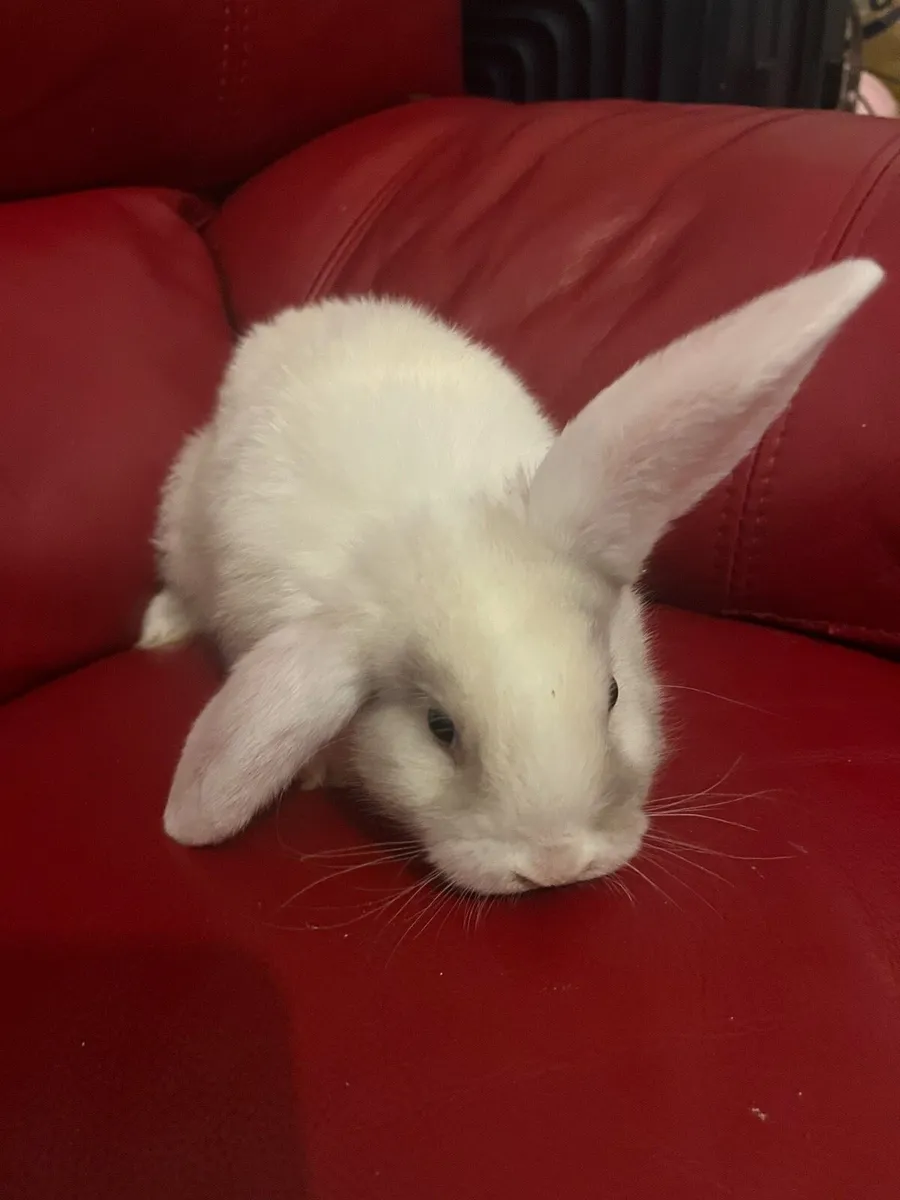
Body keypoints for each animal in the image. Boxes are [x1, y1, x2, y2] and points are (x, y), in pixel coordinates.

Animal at [139, 259, 883, 894]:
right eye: (439, 728)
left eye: (613, 693)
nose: (555, 865)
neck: (425, 516)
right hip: (179, 516)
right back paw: (159, 631)